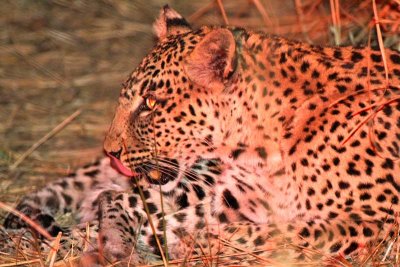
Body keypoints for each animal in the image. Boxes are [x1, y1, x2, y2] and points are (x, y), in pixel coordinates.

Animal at [2, 5, 400, 266]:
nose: (111, 151)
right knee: (116, 196)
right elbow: (162, 214)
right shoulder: (233, 195)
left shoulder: (379, 220)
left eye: (150, 103)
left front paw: (179, 243)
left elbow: (285, 232)